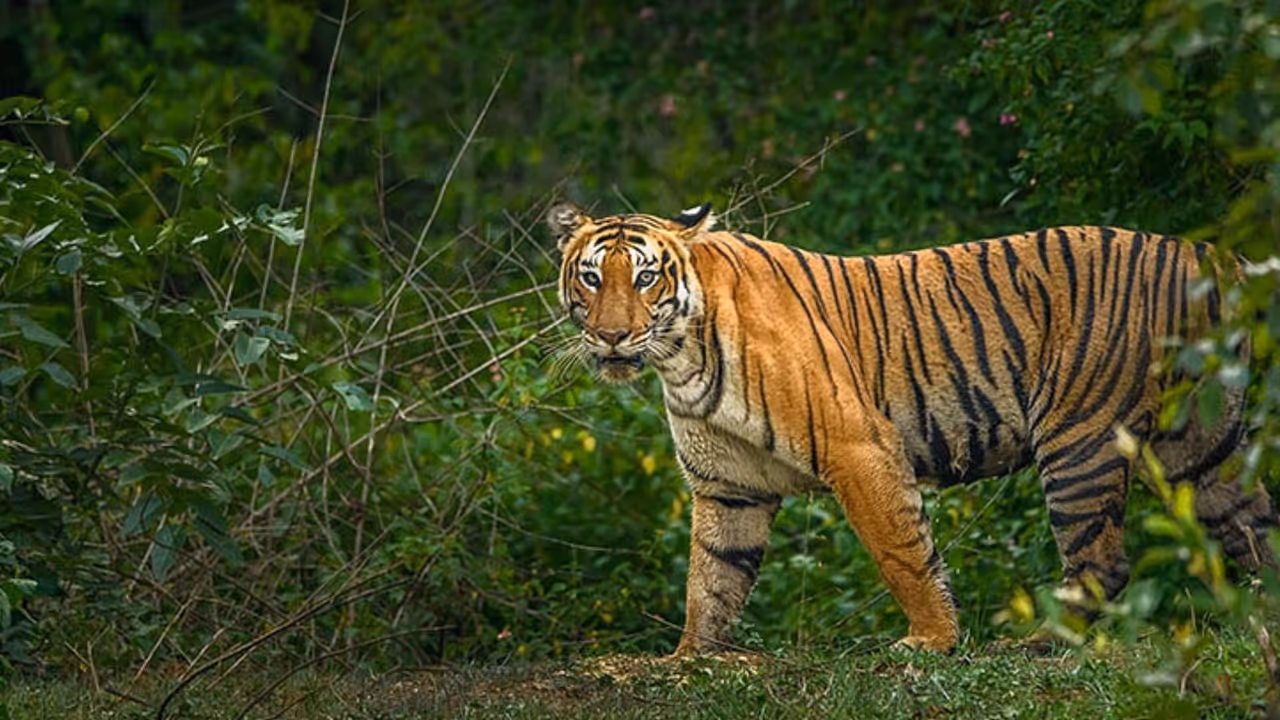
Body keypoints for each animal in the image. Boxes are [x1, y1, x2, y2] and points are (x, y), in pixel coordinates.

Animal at [547, 201, 1278, 655]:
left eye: (646, 278)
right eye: (592, 278)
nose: (612, 337)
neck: (680, 357)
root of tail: (1207, 255)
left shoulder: (859, 446)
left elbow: (901, 552)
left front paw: (931, 641)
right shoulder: (727, 486)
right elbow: (711, 579)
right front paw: (688, 658)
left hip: (1079, 438)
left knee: (1102, 560)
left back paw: (1036, 644)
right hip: (1202, 448)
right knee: (1255, 526)